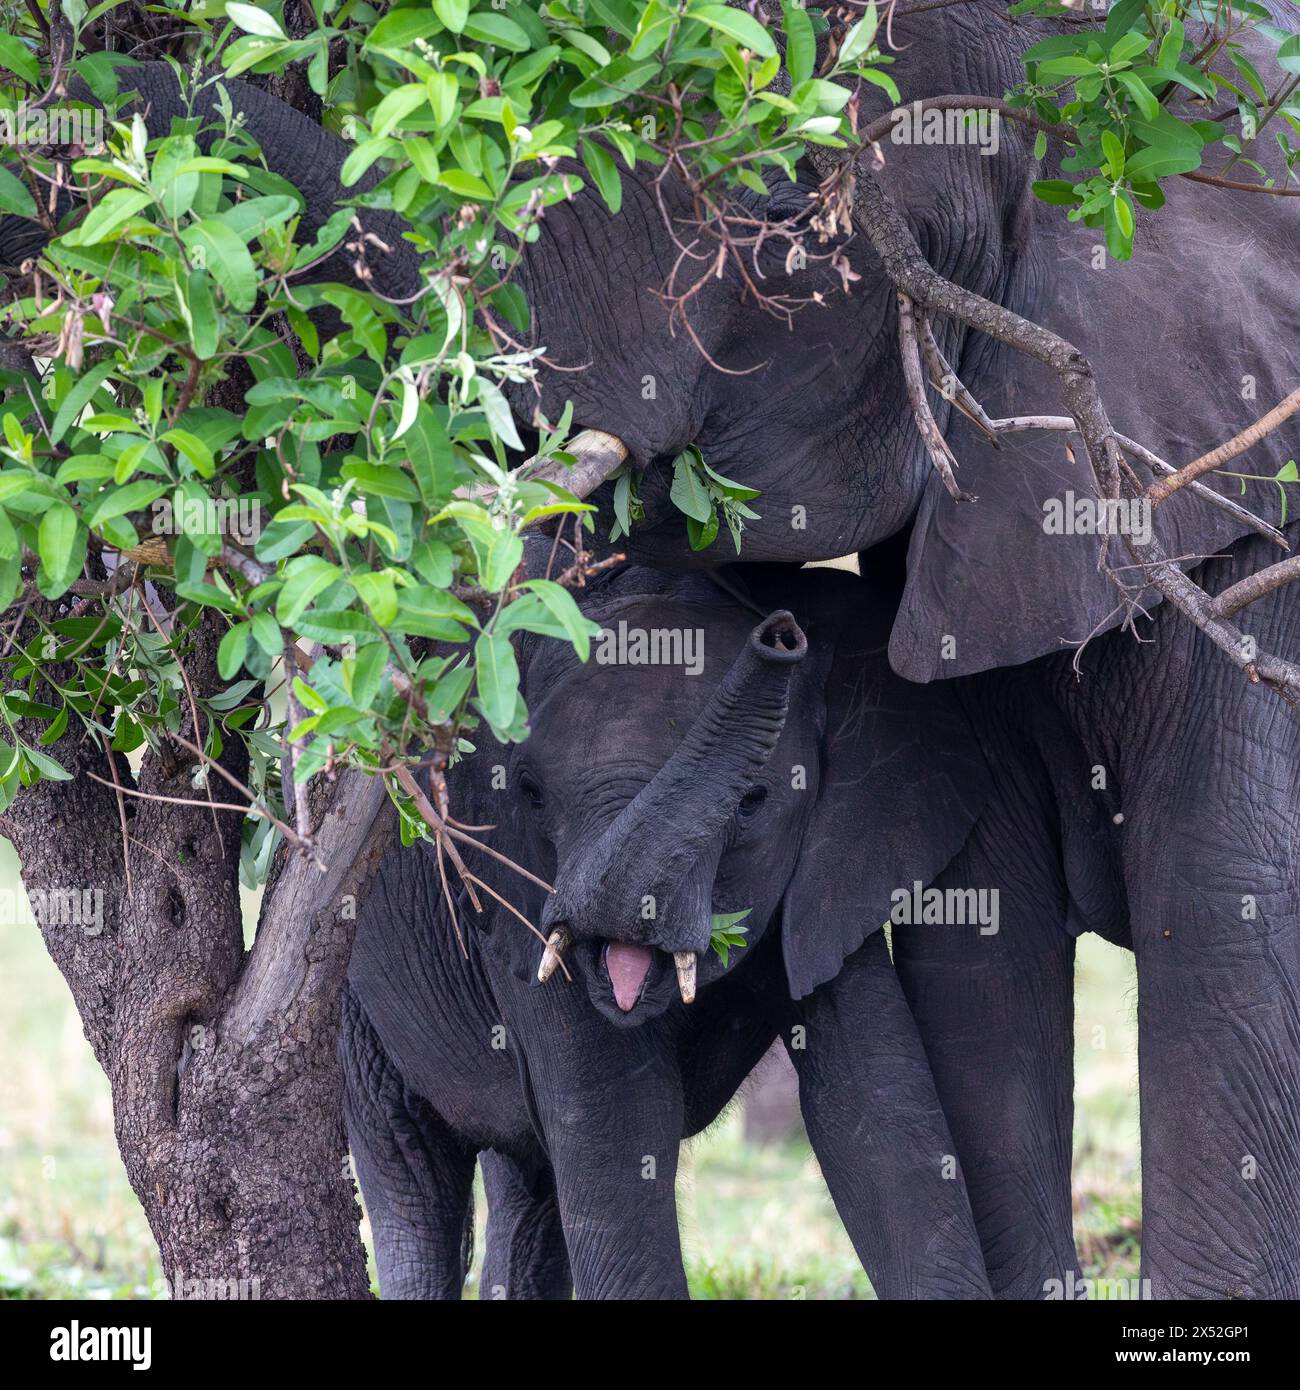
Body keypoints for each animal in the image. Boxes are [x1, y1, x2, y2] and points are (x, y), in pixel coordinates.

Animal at [340, 558, 989, 1295]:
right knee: (410, 1164)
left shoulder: (830, 878)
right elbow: (618, 1132)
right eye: (530, 793)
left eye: (752, 801)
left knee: (527, 1185)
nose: (782, 632)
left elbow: (879, 1112)